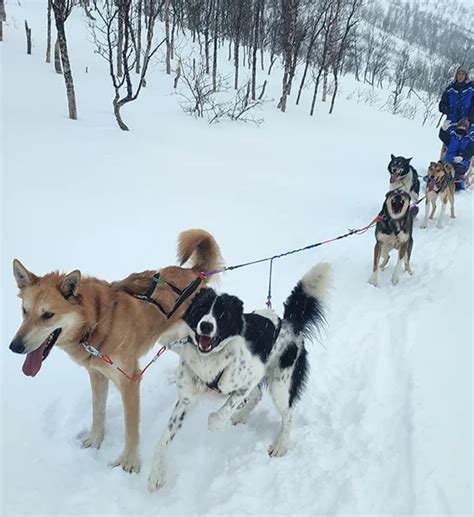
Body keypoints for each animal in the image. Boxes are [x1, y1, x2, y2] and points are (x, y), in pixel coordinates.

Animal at [8, 229, 224, 472]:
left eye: (47, 315)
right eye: (24, 311)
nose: (14, 347)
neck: (97, 322)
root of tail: (196, 273)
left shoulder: (130, 381)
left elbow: (131, 429)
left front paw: (129, 462)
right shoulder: (97, 375)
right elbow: (98, 411)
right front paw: (95, 440)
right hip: (170, 339)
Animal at [147, 264, 330, 490]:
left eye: (222, 314)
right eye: (201, 309)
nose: (206, 326)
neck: (209, 358)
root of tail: (289, 324)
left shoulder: (250, 375)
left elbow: (221, 413)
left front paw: (217, 422)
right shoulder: (187, 400)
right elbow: (163, 440)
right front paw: (157, 473)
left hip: (280, 385)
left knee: (287, 414)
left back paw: (280, 444)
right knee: (256, 396)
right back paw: (242, 416)